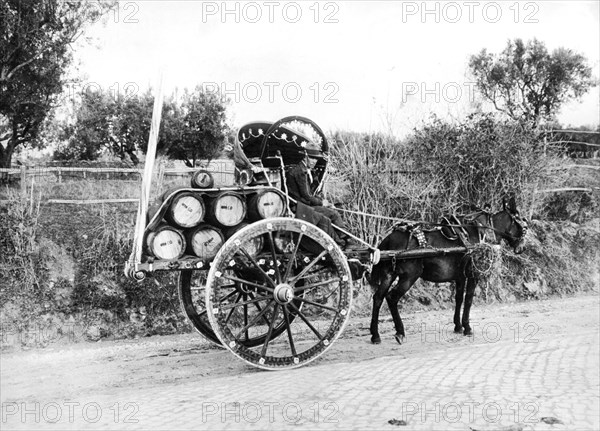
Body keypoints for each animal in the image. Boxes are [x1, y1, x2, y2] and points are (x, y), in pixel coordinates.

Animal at [368, 198, 528, 344]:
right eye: (524, 226)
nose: (522, 248)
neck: (480, 231)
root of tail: (389, 239)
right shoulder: (473, 275)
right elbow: (468, 299)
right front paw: (467, 328)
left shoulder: (460, 277)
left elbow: (458, 298)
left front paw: (458, 326)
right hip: (409, 277)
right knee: (391, 298)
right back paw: (400, 332)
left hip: (389, 274)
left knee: (378, 297)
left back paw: (375, 335)